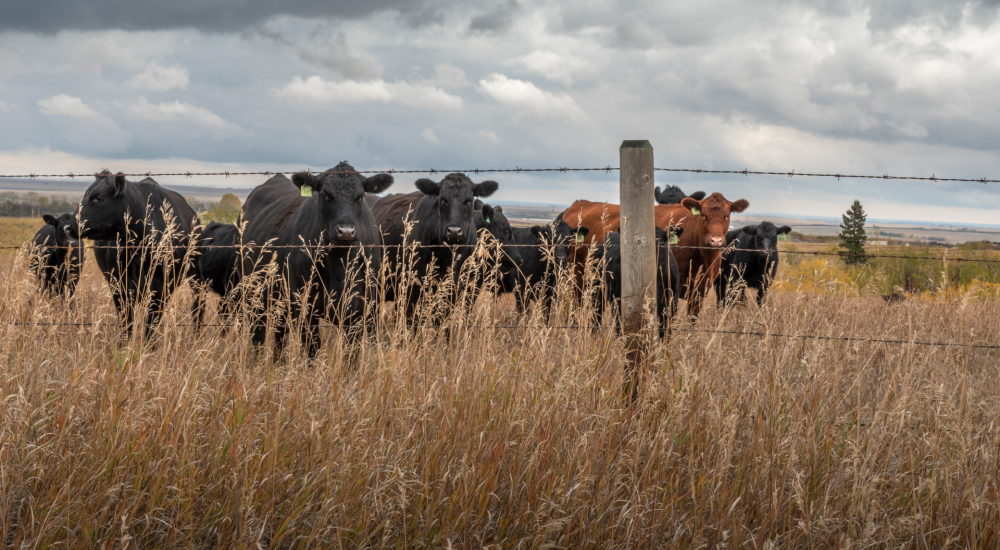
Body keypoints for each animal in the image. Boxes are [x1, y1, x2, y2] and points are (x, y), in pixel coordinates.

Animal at [73, 172, 198, 337]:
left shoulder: (162, 289)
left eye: (99, 197)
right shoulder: (120, 287)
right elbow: (127, 325)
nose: (68, 225)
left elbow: (150, 326)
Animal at [238, 162, 393, 357]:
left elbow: (352, 353)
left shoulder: (361, 311)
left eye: (360, 196)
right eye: (325, 194)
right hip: (254, 293)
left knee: (280, 335)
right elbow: (313, 349)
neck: (339, 266)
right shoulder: (306, 308)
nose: (346, 231)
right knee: (259, 333)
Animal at [371, 173, 498, 325]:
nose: (454, 231)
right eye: (442, 199)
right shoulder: (412, 287)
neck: (449, 257)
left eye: (469, 200)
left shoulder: (455, 290)